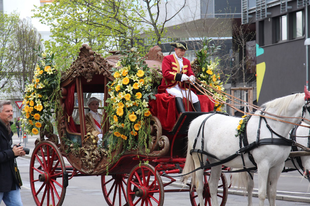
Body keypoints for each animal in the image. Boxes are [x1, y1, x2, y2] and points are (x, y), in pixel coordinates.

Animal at [182, 91, 310, 206]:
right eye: (309, 106)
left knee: (212, 186)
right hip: (199, 159)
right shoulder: (263, 165)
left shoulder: (277, 166)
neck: (272, 128)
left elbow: (272, 194)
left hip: (216, 161)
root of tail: (197, 119)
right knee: (200, 187)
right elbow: (262, 194)